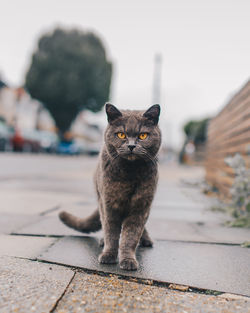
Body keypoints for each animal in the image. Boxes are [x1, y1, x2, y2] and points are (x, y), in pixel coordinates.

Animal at [60, 102, 162, 268]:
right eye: (121, 135)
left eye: (142, 135)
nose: (131, 146)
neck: (130, 174)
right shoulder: (109, 204)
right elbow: (111, 232)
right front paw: (108, 255)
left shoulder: (141, 206)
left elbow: (131, 235)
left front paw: (128, 260)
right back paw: (103, 241)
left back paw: (146, 240)